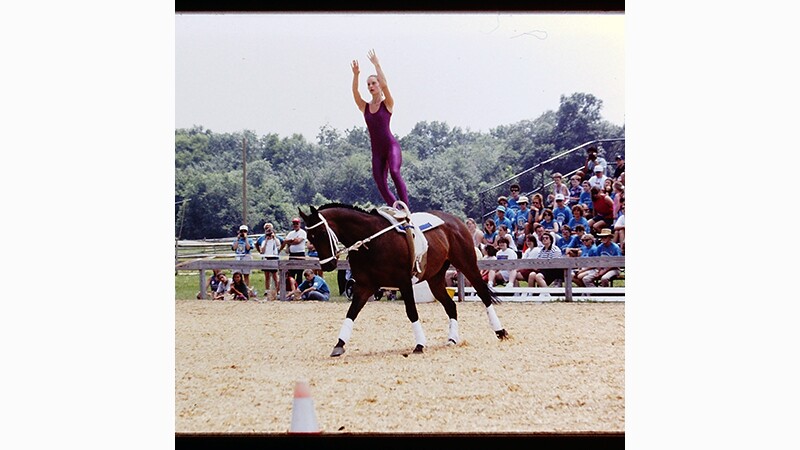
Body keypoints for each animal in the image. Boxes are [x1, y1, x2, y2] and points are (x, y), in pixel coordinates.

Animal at [296, 202, 510, 356]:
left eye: (321, 233)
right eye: (310, 237)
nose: (327, 265)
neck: (372, 241)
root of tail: (455, 221)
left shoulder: (404, 283)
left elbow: (411, 312)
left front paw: (420, 344)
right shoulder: (364, 286)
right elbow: (352, 313)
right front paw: (339, 345)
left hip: (467, 265)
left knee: (483, 295)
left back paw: (500, 331)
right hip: (435, 279)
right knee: (451, 306)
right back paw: (452, 339)